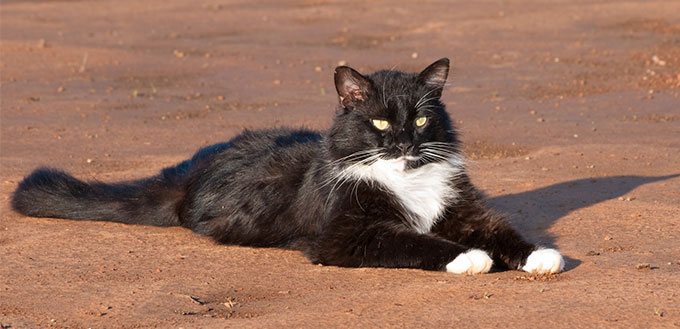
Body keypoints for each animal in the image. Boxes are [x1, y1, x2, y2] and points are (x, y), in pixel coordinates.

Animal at [11, 57, 564, 272]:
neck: (409, 181)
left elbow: (500, 230)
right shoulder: (346, 233)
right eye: (381, 123)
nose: (406, 141)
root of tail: (189, 173)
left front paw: (540, 256)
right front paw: (468, 257)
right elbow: (412, 240)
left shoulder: (463, 209)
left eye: (423, 119)